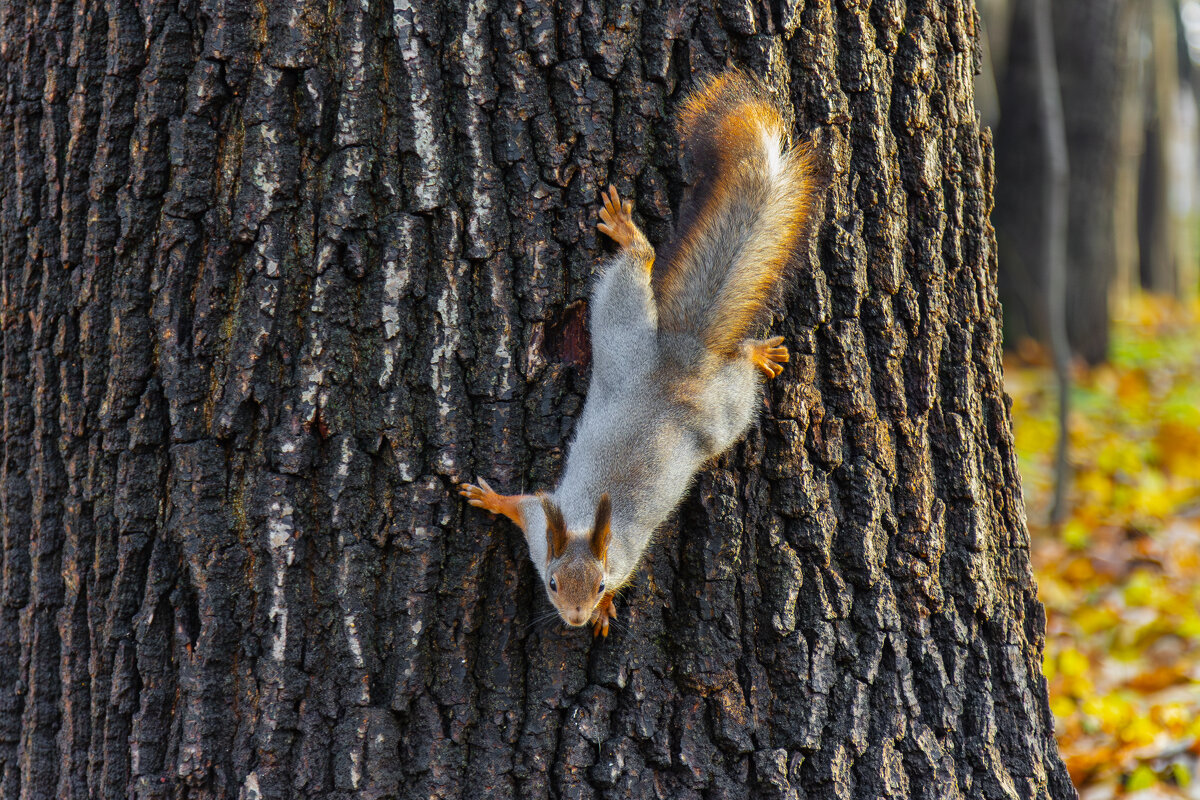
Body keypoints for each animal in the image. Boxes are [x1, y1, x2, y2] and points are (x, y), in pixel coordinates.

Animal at [460, 73, 825, 638]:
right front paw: (490, 498)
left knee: (655, 273)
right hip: (620, 334)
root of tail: (682, 361)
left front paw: (607, 612)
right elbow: (519, 504)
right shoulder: (543, 524)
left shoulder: (616, 549)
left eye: (600, 584)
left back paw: (752, 347)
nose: (575, 619)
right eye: (552, 584)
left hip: (716, 404)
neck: (582, 524)